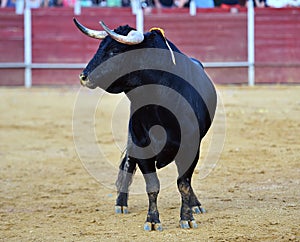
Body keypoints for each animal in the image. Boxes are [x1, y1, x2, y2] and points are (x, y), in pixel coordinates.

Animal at [73, 18, 217, 231]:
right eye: (100, 47)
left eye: (114, 50)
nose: (84, 76)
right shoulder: (141, 146)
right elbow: (152, 185)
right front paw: (153, 220)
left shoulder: (191, 147)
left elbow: (183, 183)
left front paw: (187, 217)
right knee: (127, 164)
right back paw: (121, 203)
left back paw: (196, 204)